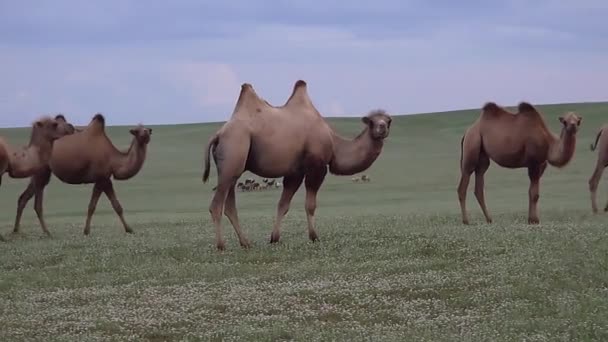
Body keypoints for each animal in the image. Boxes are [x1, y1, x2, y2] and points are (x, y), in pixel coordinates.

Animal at [12, 113, 152, 236]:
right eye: (137, 130)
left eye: (146, 129)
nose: (147, 131)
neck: (114, 159)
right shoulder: (102, 178)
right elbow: (99, 206)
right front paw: (87, 231)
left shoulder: (104, 179)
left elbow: (111, 205)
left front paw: (128, 229)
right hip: (42, 172)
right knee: (37, 203)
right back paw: (46, 232)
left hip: (39, 171)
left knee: (23, 198)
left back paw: (16, 230)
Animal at [202, 80, 392, 251]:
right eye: (371, 122)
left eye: (388, 120)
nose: (381, 128)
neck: (334, 143)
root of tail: (219, 134)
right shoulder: (317, 167)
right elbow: (310, 205)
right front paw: (314, 237)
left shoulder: (295, 172)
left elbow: (283, 205)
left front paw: (274, 238)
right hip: (233, 152)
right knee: (216, 205)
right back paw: (221, 245)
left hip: (234, 168)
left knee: (230, 205)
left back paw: (245, 243)